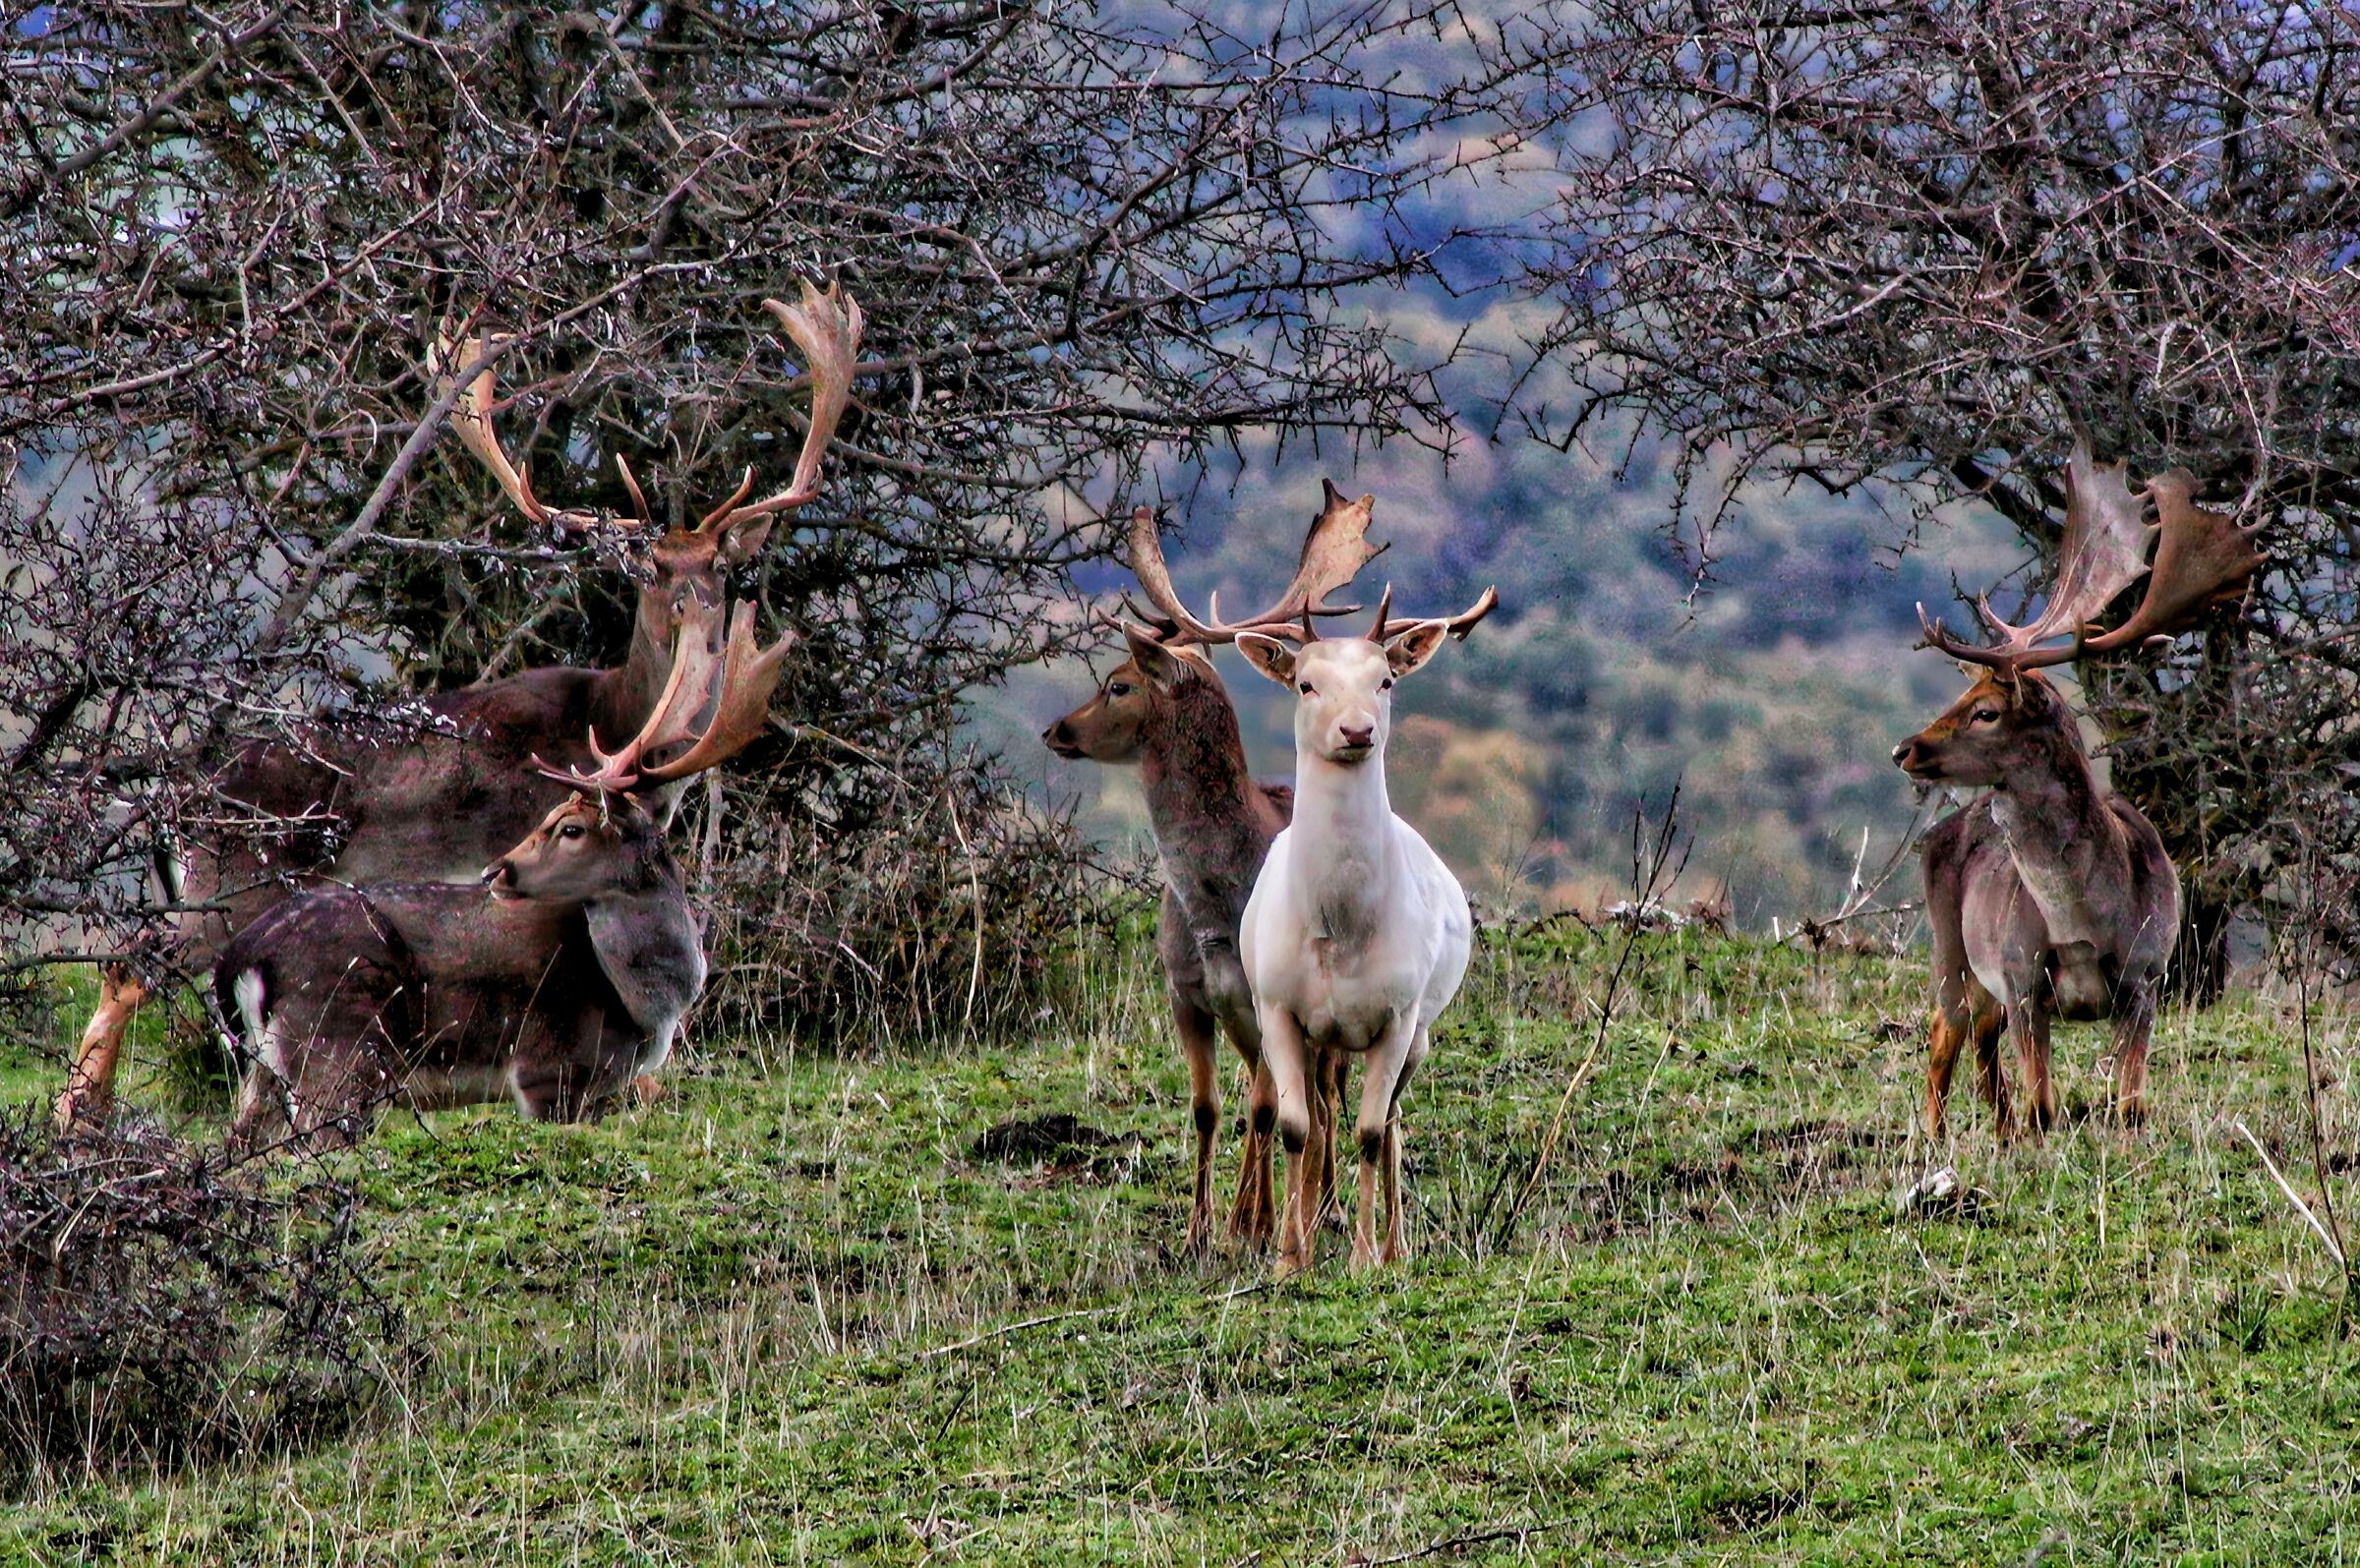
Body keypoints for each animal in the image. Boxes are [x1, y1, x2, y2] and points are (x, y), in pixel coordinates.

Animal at [218, 594, 788, 1148]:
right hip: (341, 1050)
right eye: (550, 816)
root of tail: (243, 956)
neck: (644, 1006)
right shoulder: (550, 1071)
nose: (496, 871)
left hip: (267, 1070)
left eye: (571, 827)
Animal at [1041, 487, 1380, 1253]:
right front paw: (1201, 1228)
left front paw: (1249, 1226)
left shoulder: (1268, 998)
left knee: (1325, 1093)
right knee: (1306, 1096)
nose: (1056, 729)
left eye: (1118, 684)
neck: (1213, 904)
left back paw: (1320, 1206)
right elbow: (1208, 1107)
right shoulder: (1190, 994)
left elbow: (1268, 1109)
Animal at [1226, 544, 1497, 1274]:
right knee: (1321, 1112)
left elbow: (1372, 1131)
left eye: (1387, 680)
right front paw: (1290, 1256)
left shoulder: (1398, 1015)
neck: (1341, 930)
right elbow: (1296, 1126)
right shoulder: (1277, 1006)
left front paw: (1366, 1257)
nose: (1356, 730)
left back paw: (1396, 1243)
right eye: (1304, 684)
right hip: (1319, 1036)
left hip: (1421, 1033)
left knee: (1394, 1118)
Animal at [1896, 435, 2264, 1139]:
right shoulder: (2022, 980)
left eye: (1987, 711)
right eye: (1963, 697)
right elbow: (2044, 1108)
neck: (2084, 925)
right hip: (1951, 946)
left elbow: (2129, 1107)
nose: (1906, 748)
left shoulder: (2148, 977)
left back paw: (1997, 1131)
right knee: (1943, 1033)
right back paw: (1934, 1135)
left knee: (1977, 1041)